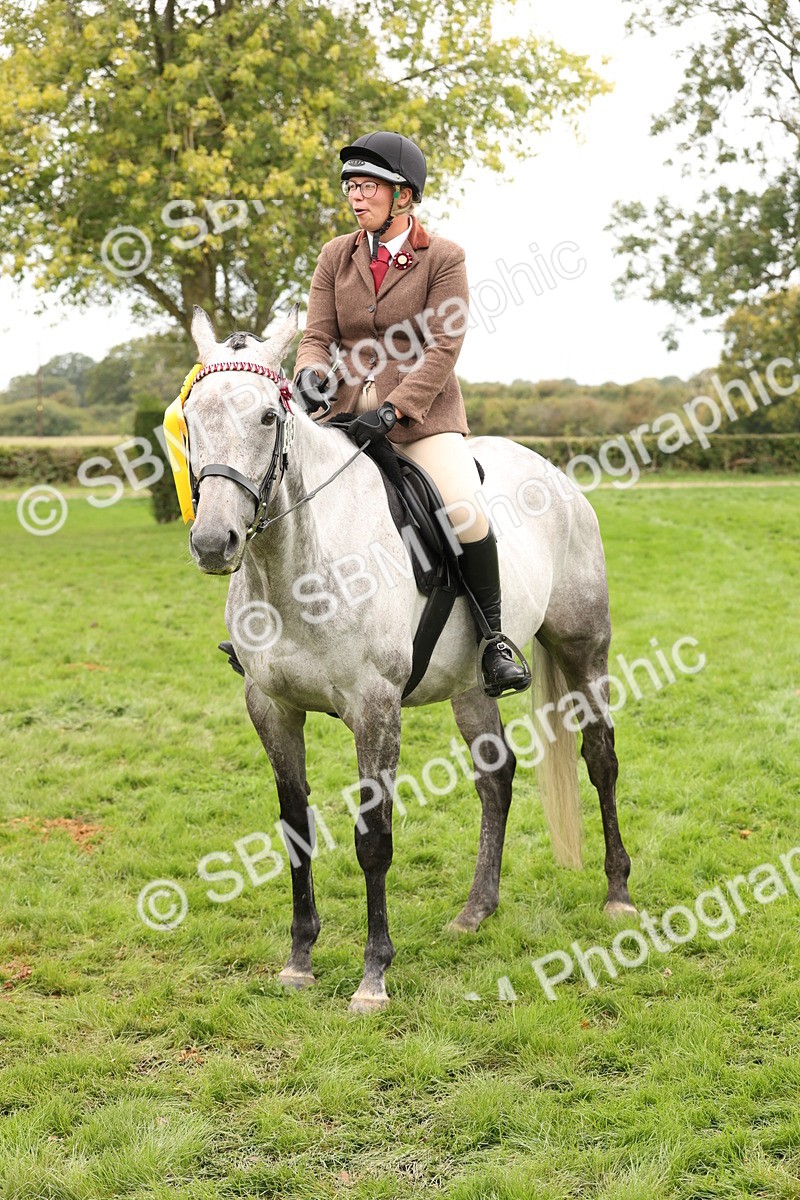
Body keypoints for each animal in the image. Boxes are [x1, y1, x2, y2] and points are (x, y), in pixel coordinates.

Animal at [171, 304, 635, 1013]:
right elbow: (295, 829)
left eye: (269, 417)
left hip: (584, 649)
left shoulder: (375, 707)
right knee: (496, 778)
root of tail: (554, 473)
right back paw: (476, 910)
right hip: (471, 684)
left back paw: (617, 895)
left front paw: (373, 977)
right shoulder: (270, 706)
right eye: (192, 418)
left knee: (600, 758)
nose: (212, 542)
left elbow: (374, 839)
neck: (295, 568)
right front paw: (299, 960)